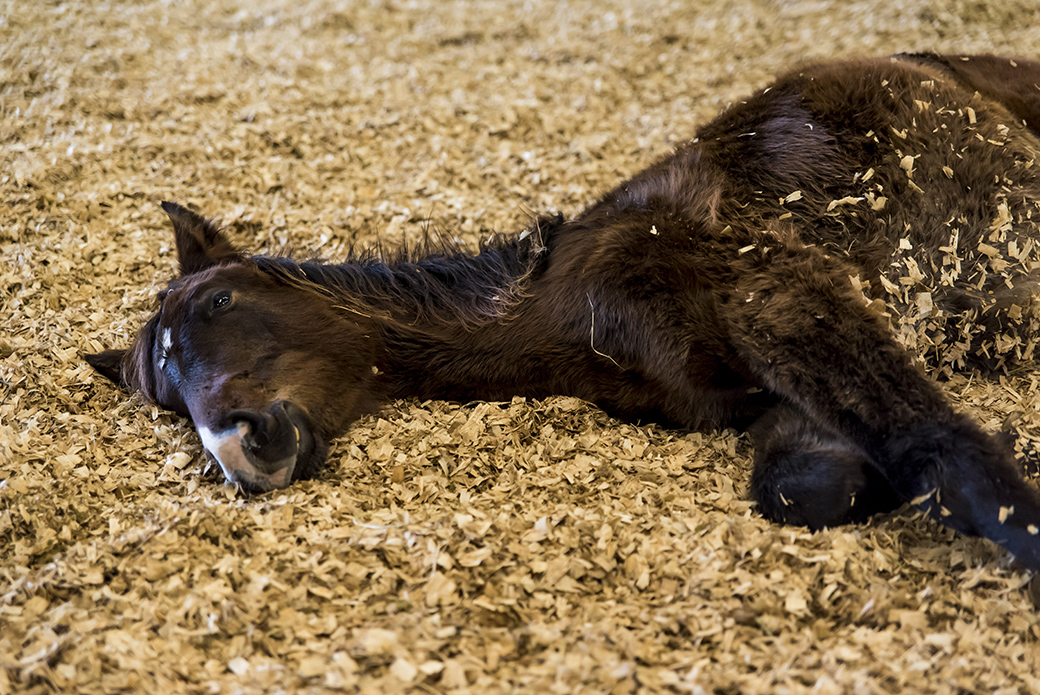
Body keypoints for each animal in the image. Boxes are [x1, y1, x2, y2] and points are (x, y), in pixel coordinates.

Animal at [85, 54, 1040, 570]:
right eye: (166, 398)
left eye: (221, 299)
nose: (237, 448)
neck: (565, 309)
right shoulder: (773, 393)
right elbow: (809, 483)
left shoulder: (786, 301)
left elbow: (942, 448)